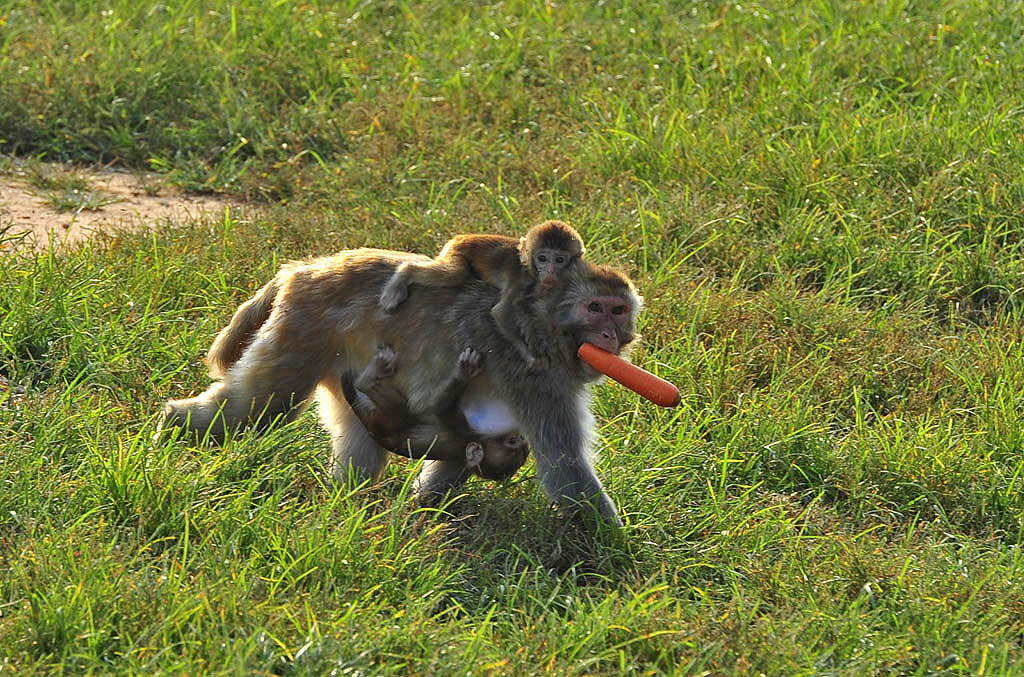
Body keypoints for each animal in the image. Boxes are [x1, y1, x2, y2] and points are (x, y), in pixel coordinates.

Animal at [348, 344, 532, 481]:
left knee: (392, 404)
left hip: (389, 417)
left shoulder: (467, 431)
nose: (524, 439)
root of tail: (374, 430)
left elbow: (440, 408)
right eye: (514, 440)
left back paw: (367, 379)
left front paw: (465, 371)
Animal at [376, 220, 585, 368]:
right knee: (455, 274)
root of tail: (460, 237)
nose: (549, 271)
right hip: (456, 252)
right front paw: (531, 357)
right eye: (542, 258)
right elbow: (500, 312)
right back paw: (403, 275)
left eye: (559, 260)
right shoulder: (520, 280)